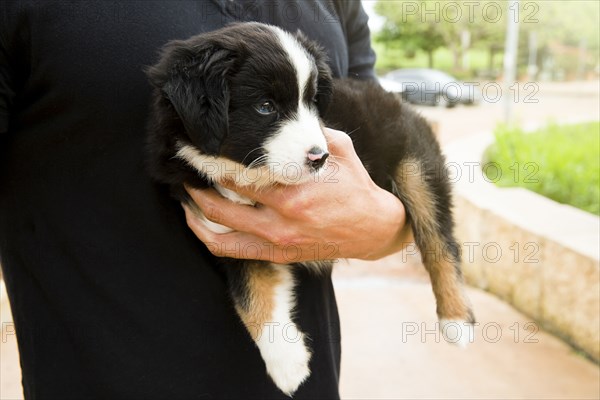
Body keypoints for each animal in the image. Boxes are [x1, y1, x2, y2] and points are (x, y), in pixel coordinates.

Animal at [145, 21, 474, 396]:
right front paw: (287, 361)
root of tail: (398, 101)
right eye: (265, 106)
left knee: (439, 237)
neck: (246, 172)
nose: (320, 158)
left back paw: (457, 318)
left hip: (415, 163)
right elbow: (252, 295)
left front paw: (287, 365)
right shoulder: (231, 236)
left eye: (312, 103)